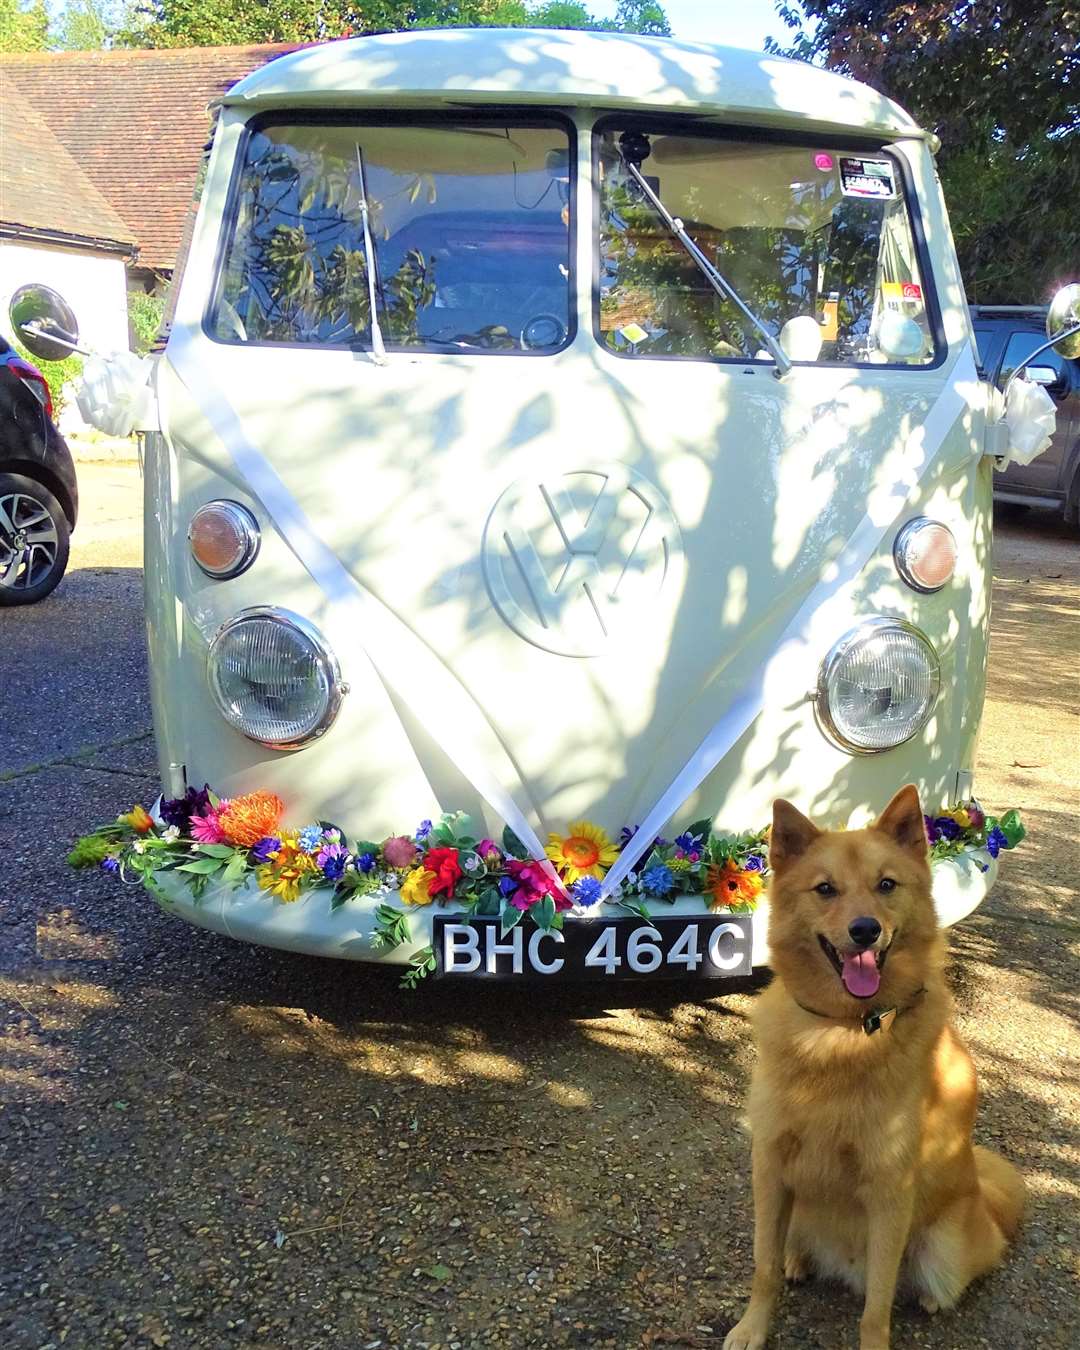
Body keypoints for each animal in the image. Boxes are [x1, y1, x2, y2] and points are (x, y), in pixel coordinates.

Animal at [723, 788, 1020, 1350]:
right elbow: (763, 1267)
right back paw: (800, 1259)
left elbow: (876, 1307)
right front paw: (753, 1327)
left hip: (943, 1248)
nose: (865, 930)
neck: (842, 1032)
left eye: (887, 885)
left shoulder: (889, 1194)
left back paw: (931, 1295)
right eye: (825, 889)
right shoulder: (770, 1168)